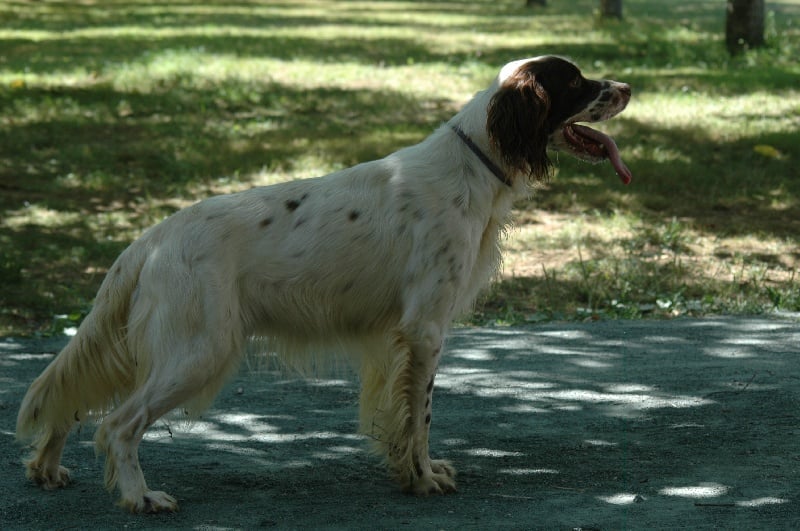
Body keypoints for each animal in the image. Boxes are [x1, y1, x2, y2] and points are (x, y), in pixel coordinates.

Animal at [15, 56, 632, 512]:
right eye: (576, 81)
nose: (628, 86)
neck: (474, 164)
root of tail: (152, 237)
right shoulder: (425, 329)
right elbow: (421, 418)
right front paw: (423, 479)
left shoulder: (400, 339)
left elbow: (402, 421)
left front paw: (414, 472)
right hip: (199, 349)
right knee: (119, 425)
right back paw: (141, 497)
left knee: (74, 397)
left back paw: (47, 466)